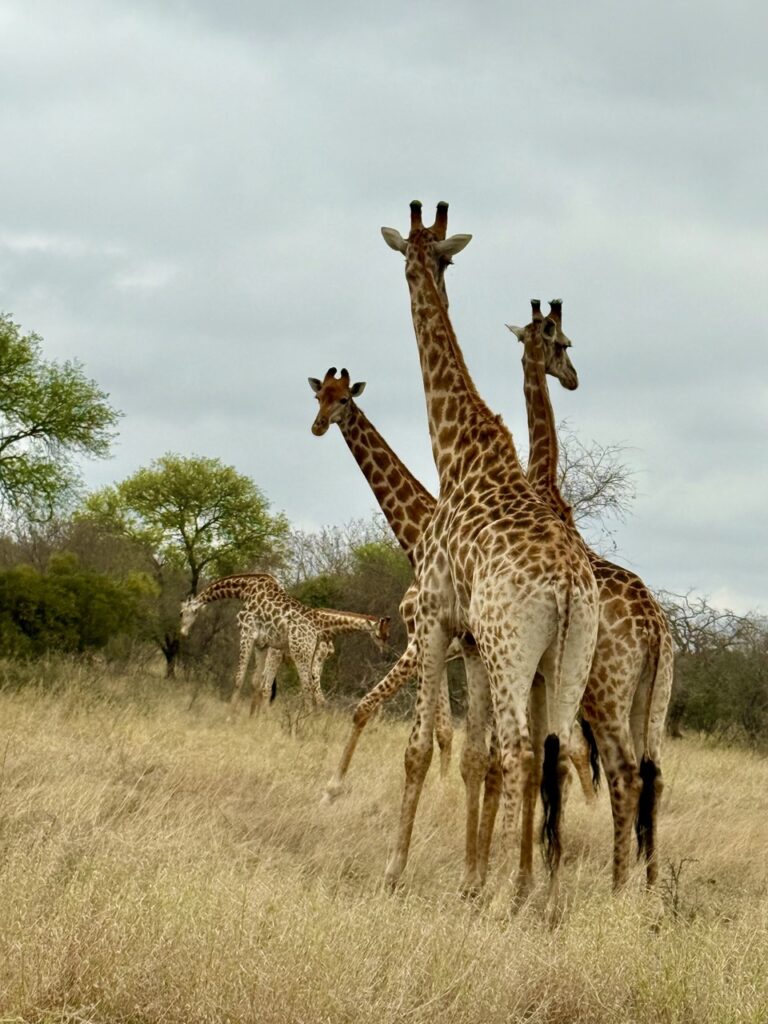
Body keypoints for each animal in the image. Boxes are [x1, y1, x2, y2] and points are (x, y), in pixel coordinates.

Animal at [179, 573, 390, 711]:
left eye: (181, 613)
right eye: (381, 635)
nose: (182, 632)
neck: (245, 588)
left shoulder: (247, 632)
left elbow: (240, 678)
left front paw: (231, 714)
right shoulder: (263, 643)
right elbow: (258, 683)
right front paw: (252, 717)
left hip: (300, 653)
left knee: (307, 687)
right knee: (300, 687)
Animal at [380, 201, 599, 905]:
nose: (573, 375)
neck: (457, 456)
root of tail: (567, 588)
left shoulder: (437, 618)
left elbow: (422, 747)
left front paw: (396, 872)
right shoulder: (472, 642)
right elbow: (474, 755)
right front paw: (471, 878)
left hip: (515, 651)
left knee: (525, 751)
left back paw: (515, 893)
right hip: (567, 659)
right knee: (558, 755)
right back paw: (545, 897)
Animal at [507, 299, 673, 888]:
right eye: (563, 344)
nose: (575, 378)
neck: (544, 484)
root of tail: (655, 632)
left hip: (606, 693)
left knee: (626, 773)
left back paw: (619, 885)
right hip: (653, 696)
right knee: (654, 773)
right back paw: (649, 883)